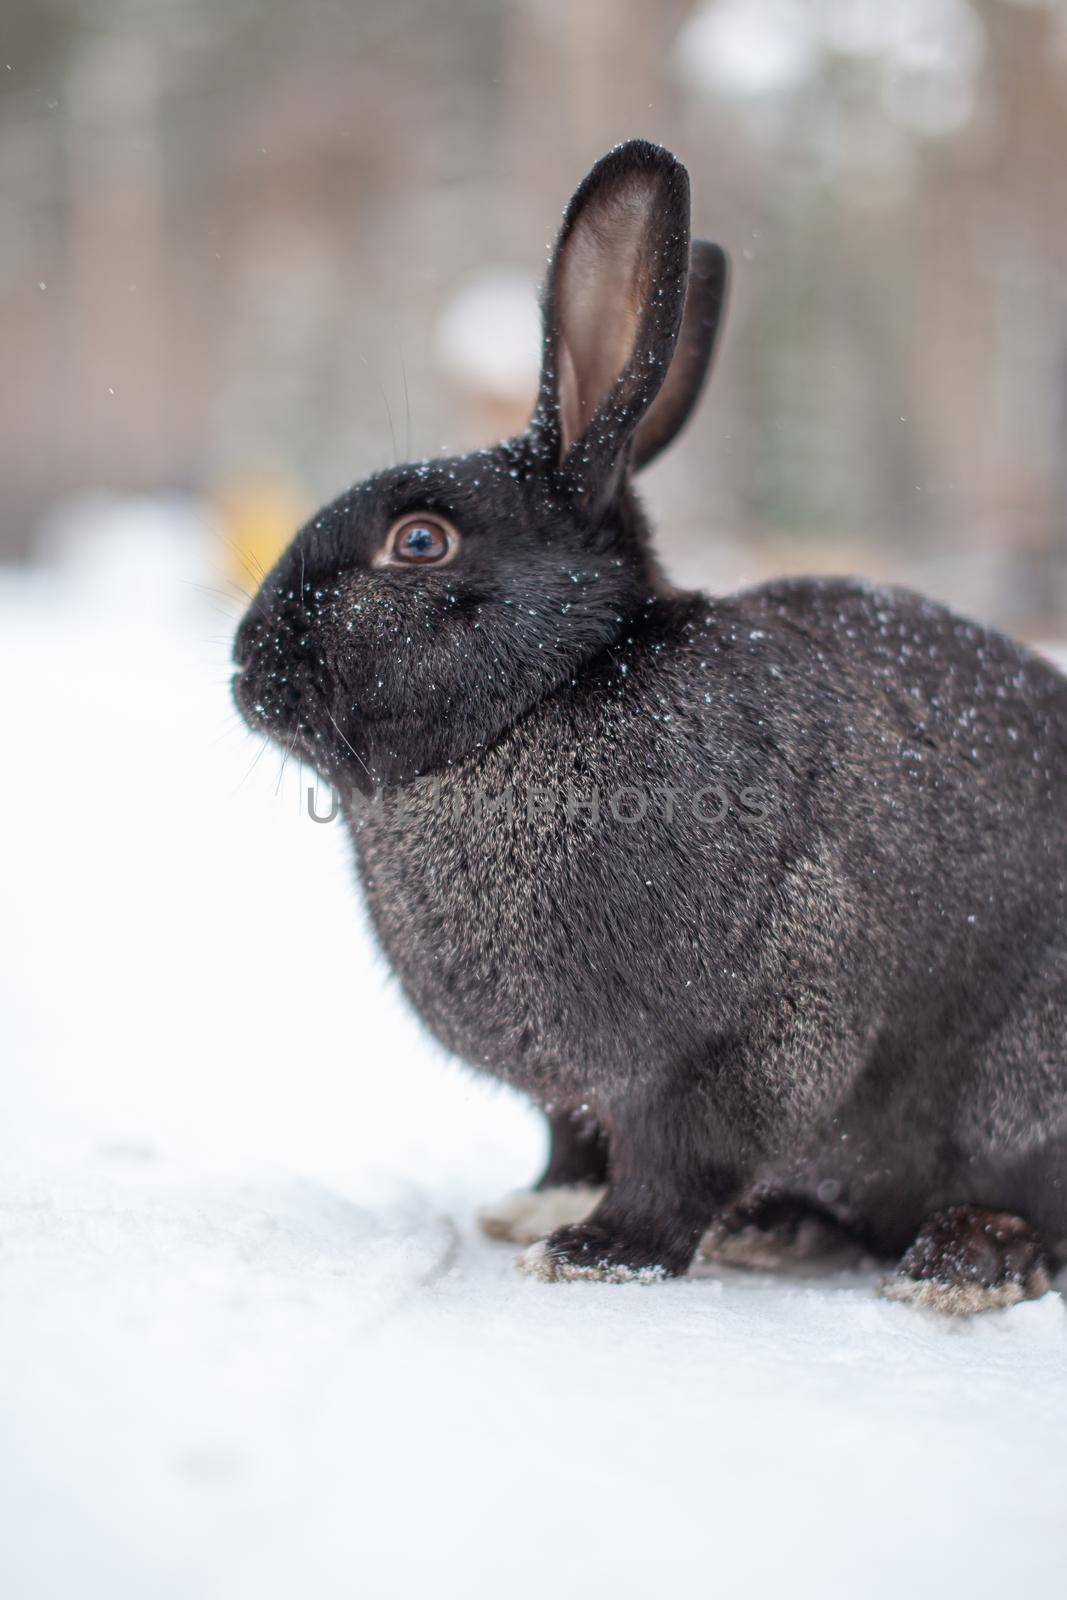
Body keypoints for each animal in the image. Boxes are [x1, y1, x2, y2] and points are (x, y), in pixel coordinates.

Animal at [235, 140, 1067, 1312]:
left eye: (420, 541)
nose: (243, 665)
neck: (552, 695)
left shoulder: (754, 1034)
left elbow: (681, 1160)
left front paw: (590, 1252)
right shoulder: (573, 1095)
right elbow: (574, 1137)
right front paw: (537, 1208)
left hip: (1024, 1083)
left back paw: (960, 1261)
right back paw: (780, 1230)